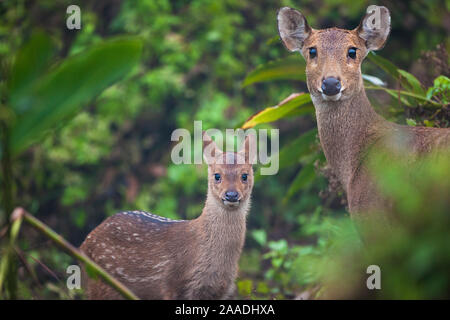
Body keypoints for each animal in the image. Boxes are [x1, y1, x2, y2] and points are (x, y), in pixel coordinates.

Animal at [79, 132, 255, 298]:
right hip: (101, 285)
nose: (231, 195)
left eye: (244, 175)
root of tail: (83, 245)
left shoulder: (222, 290)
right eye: (217, 175)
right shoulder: (174, 285)